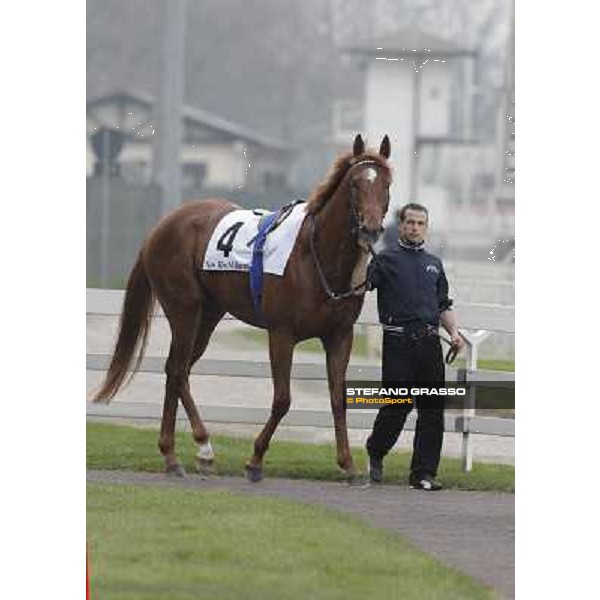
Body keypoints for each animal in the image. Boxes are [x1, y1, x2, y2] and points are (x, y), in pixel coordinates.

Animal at [92, 134, 394, 480]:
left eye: (386, 183)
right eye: (356, 184)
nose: (371, 229)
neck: (314, 254)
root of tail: (161, 226)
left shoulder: (339, 335)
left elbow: (337, 398)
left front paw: (348, 463)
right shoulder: (281, 333)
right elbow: (282, 399)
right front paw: (255, 459)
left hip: (208, 316)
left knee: (175, 370)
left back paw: (173, 453)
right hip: (185, 310)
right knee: (178, 370)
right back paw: (200, 447)